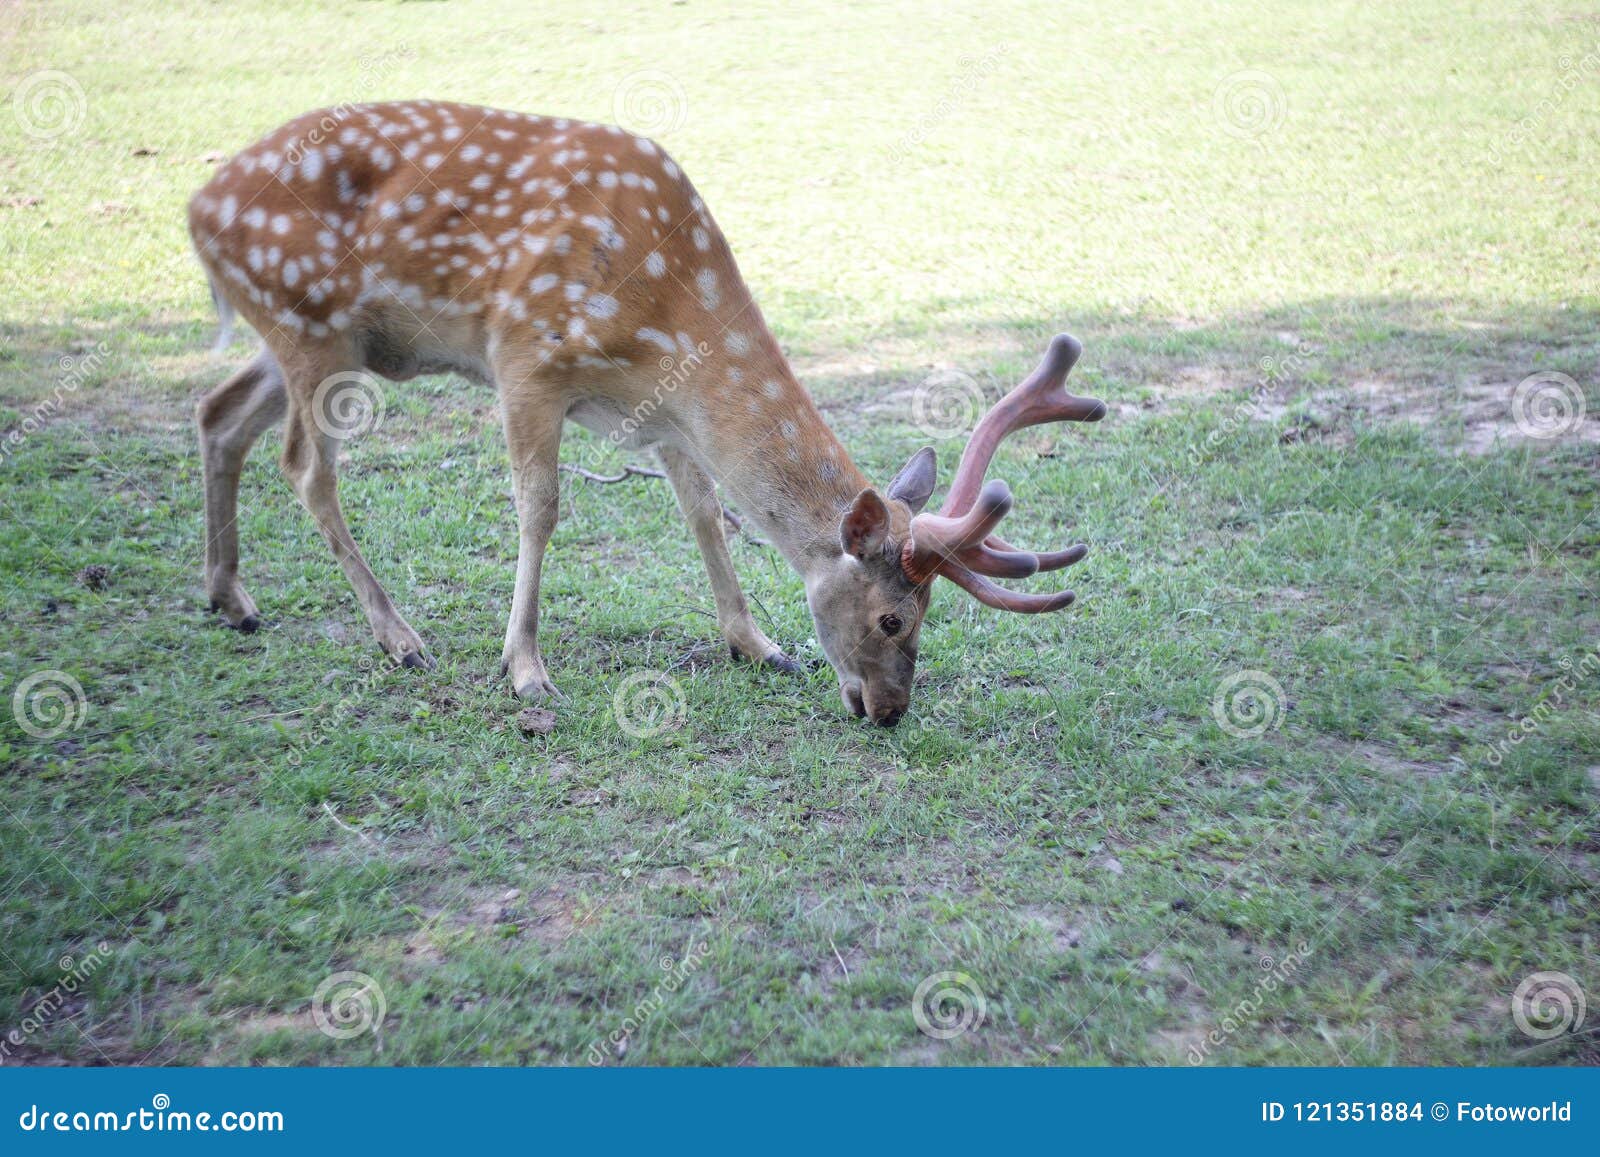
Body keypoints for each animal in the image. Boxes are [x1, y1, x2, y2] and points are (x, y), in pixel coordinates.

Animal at [187, 104, 1107, 729]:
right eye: (892, 616)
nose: (888, 710)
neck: (668, 317)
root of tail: (197, 209)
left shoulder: (659, 411)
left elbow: (704, 511)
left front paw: (758, 643)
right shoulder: (525, 357)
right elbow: (540, 508)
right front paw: (525, 667)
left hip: (317, 336)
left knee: (217, 410)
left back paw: (231, 597)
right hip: (312, 326)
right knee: (306, 466)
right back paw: (398, 635)